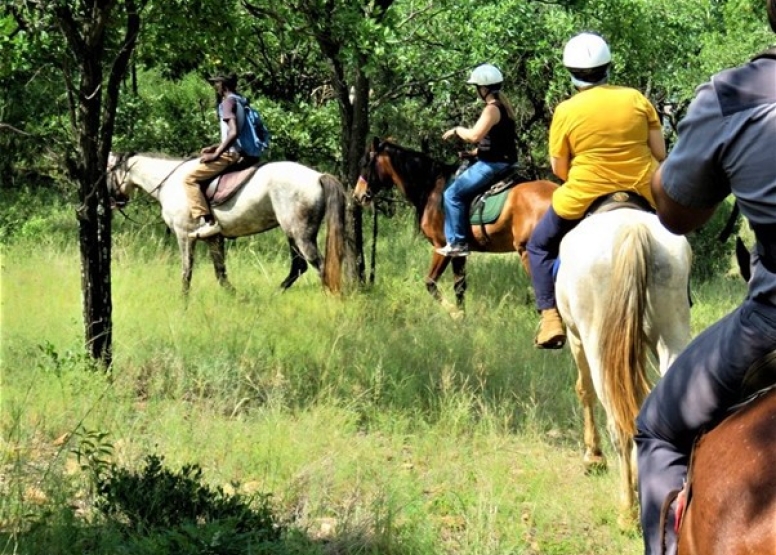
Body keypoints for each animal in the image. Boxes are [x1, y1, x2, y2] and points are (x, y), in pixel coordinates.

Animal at [108, 153, 346, 296]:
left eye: (107, 171)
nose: (113, 202)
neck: (171, 183)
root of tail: (317, 176)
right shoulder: (213, 238)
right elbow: (220, 273)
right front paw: (236, 297)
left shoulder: (184, 235)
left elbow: (186, 272)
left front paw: (183, 302)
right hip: (292, 233)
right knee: (299, 266)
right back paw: (276, 293)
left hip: (300, 233)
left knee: (319, 266)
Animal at [352, 137, 556, 310]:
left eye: (364, 164)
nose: (358, 195)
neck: (431, 187)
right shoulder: (459, 253)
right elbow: (459, 287)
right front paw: (462, 318)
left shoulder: (441, 247)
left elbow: (431, 283)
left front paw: (453, 314)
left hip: (528, 253)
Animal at [556, 207, 696, 524]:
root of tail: (632, 229)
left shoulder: (576, 338)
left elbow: (584, 390)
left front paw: (593, 456)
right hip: (672, 336)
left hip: (598, 347)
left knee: (618, 423)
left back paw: (626, 511)